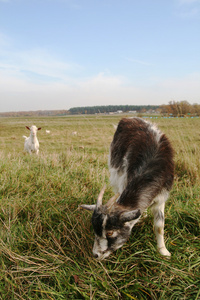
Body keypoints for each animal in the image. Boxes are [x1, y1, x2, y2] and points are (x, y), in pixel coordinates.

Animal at [80, 117, 174, 260]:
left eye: (110, 233)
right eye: (95, 230)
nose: (95, 255)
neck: (149, 170)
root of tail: (130, 118)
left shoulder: (161, 196)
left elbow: (159, 226)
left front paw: (164, 252)